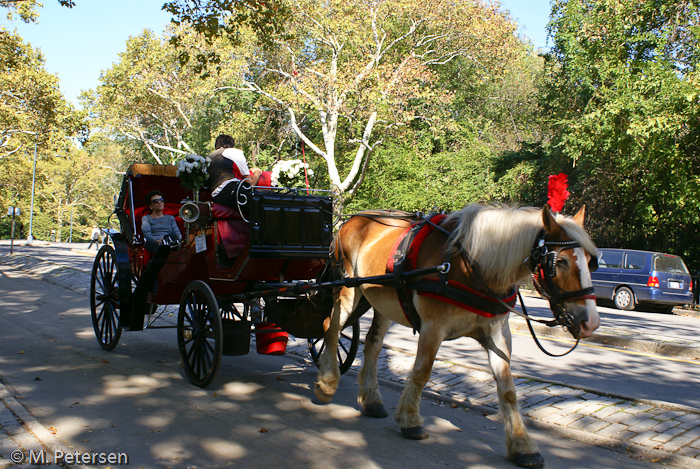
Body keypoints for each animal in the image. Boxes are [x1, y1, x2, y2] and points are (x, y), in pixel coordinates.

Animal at [314, 205, 600, 468]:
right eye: (559, 261)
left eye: (591, 261)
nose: (591, 323)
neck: (473, 267)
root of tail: (354, 219)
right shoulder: (433, 327)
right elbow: (422, 373)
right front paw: (410, 420)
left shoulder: (497, 335)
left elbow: (508, 390)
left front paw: (522, 444)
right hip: (347, 291)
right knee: (331, 329)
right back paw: (328, 381)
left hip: (385, 301)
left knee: (372, 344)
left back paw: (371, 399)